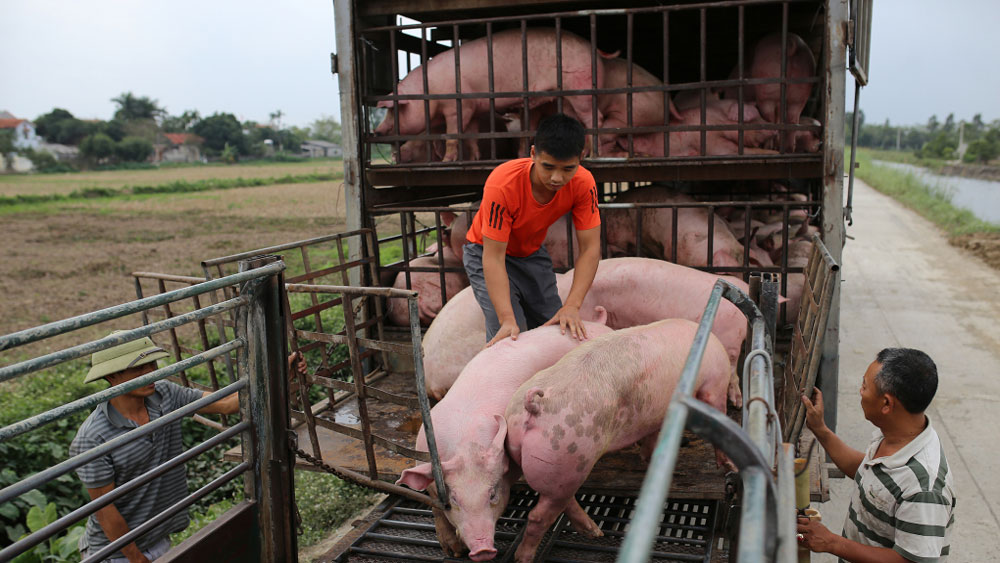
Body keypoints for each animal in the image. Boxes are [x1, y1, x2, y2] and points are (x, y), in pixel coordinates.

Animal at [360, 1, 828, 167]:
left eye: (391, 111)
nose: (377, 133)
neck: (432, 92)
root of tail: (594, 52)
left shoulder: (457, 105)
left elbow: (455, 133)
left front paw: (447, 161)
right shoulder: (475, 107)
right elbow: (472, 135)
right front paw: (471, 159)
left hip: (580, 90)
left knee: (595, 123)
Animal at [396, 310, 608, 560]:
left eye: (492, 494)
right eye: (454, 499)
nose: (482, 550)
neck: (465, 444)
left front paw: (596, 534)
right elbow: (435, 507)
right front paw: (453, 552)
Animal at [504, 320, 732, 560]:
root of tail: (535, 405)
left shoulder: (655, 416)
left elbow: (651, 440)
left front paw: (648, 457)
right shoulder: (716, 380)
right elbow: (717, 409)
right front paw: (728, 465)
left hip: (557, 467)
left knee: (562, 500)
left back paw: (595, 532)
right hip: (566, 454)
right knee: (539, 515)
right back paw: (525, 557)